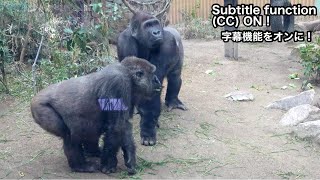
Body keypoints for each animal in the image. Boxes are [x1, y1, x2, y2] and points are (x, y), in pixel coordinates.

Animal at [30, 56, 160, 174]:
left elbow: (124, 126)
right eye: (152, 74)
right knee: (69, 135)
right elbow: (117, 126)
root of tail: (34, 98)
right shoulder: (118, 83)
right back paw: (80, 166)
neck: (128, 74)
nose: (157, 80)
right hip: (41, 109)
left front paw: (130, 157)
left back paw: (93, 152)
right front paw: (108, 164)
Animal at [117, 10, 188, 146]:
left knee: (175, 77)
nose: (156, 32)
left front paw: (148, 128)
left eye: (155, 24)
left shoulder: (168, 42)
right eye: (148, 26)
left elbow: (151, 88)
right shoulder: (124, 42)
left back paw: (173, 101)